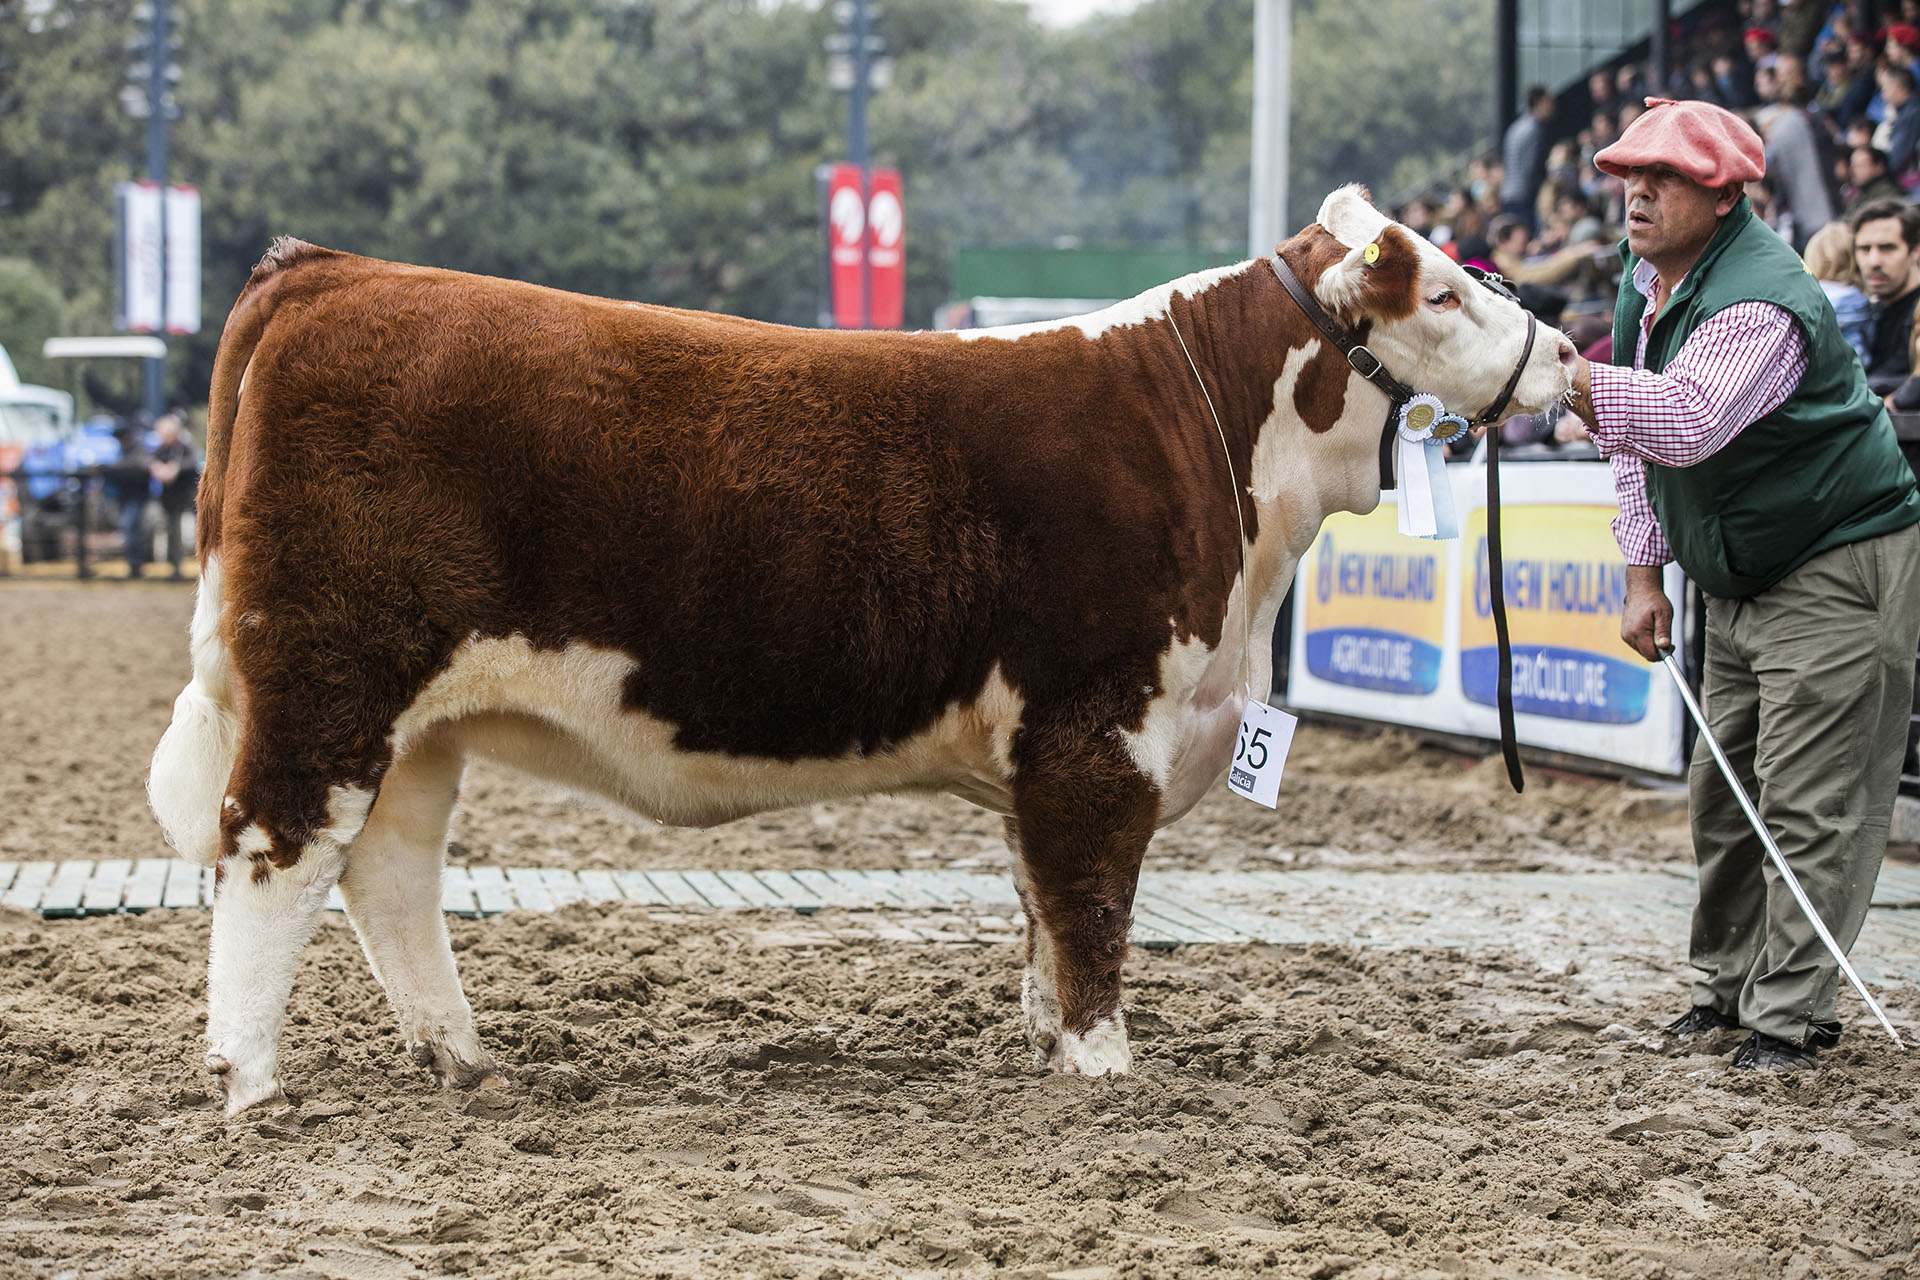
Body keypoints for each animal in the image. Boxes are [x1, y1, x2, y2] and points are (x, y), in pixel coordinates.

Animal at [149, 185, 1574, 1113]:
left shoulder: (1050, 751)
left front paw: (1047, 1046)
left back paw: (461, 1056)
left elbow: (1038, 903)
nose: (1565, 348)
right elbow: (1092, 903)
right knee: (276, 846)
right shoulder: (1098, 725)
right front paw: (1105, 1069)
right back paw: (250, 1080)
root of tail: (331, 269)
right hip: (331, 674)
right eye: (1445, 290)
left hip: (419, 717)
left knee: (386, 866)